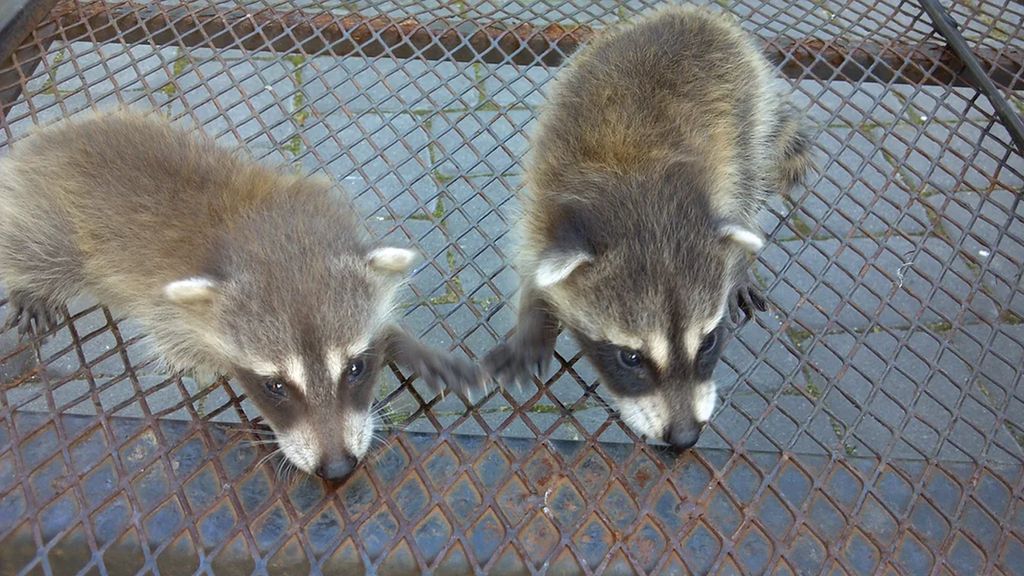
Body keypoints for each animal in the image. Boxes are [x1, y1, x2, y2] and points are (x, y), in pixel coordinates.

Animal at [0, 109, 481, 477]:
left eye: (355, 368)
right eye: (275, 386)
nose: (338, 469)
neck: (275, 238)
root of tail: (45, 139)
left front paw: (402, 342)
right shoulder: (167, 311)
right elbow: (189, 350)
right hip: (49, 220)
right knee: (37, 248)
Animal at [483, 6, 811, 450]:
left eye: (708, 341)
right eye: (631, 357)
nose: (686, 437)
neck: (644, 207)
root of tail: (693, 15)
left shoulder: (715, 184)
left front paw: (739, 261)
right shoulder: (542, 204)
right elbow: (531, 261)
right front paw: (532, 321)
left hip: (749, 111)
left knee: (748, 179)